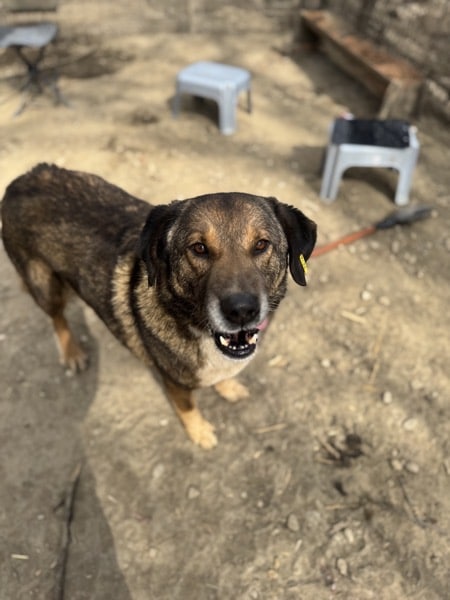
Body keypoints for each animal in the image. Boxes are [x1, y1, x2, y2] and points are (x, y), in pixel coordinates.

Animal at [1, 163, 316, 448]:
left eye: (262, 244)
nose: (241, 311)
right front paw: (200, 432)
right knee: (57, 317)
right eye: (198, 248)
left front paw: (227, 387)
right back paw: (72, 352)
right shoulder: (173, 381)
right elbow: (187, 407)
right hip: (44, 285)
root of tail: (24, 177)